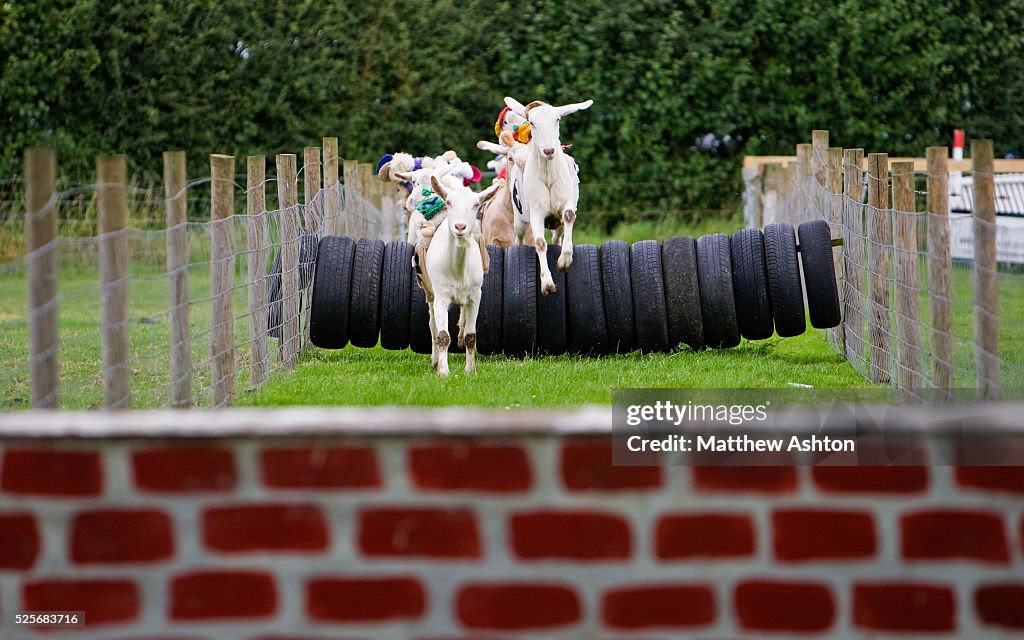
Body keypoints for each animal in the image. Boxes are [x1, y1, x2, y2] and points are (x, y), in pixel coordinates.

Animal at [422, 175, 500, 377]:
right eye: (448, 202)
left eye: (476, 204)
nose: (460, 226)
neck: (457, 271)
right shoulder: (441, 295)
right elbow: (442, 335)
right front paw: (443, 372)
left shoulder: (475, 296)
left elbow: (471, 336)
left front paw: (470, 370)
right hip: (430, 292)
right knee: (432, 325)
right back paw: (435, 359)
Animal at [503, 96, 592, 295]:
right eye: (532, 123)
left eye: (557, 120)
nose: (549, 151)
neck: (548, 174)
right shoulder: (536, 212)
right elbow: (540, 243)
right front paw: (547, 283)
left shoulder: (566, 202)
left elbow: (569, 216)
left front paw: (564, 261)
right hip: (519, 220)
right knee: (519, 239)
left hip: (556, 223)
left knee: (557, 236)